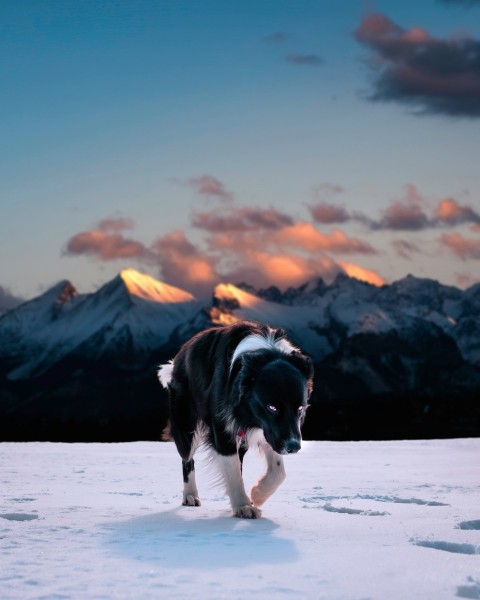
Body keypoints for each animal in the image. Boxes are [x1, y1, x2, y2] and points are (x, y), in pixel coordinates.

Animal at [158, 322, 316, 516]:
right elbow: (232, 471)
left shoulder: (267, 430)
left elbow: (279, 470)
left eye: (300, 408)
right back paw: (190, 496)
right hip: (186, 422)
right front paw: (243, 506)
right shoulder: (224, 427)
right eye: (272, 407)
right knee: (187, 458)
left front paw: (257, 494)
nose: (294, 447)